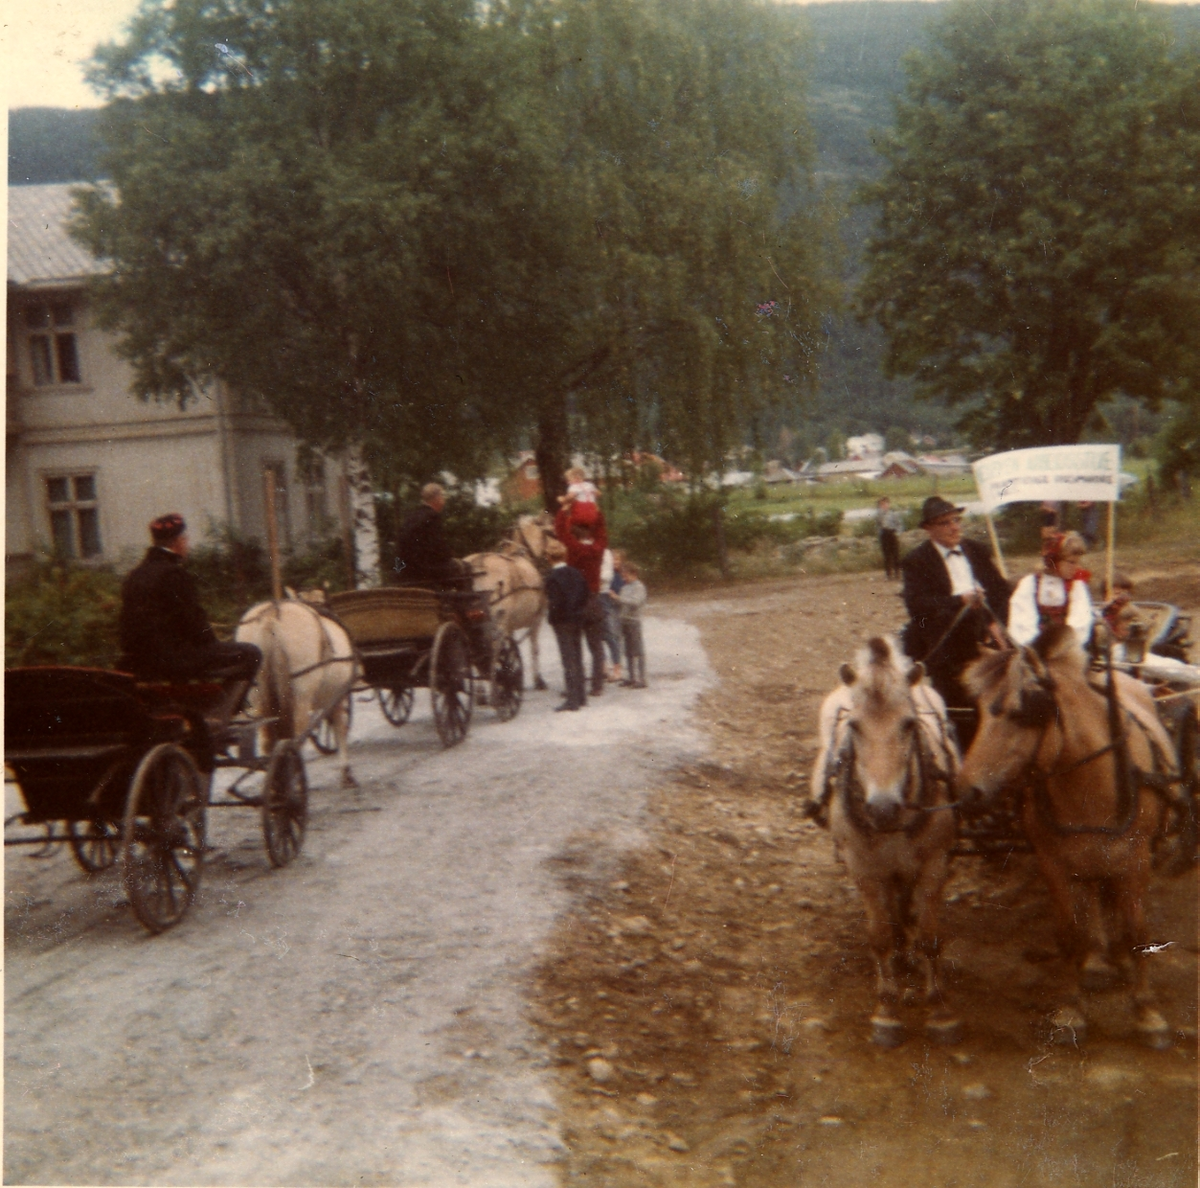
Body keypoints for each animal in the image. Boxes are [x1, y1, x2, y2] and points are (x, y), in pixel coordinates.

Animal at [236, 595, 357, 792]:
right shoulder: (338, 696)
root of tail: (271, 614)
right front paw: (346, 773)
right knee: (296, 741)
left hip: (259, 698)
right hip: (301, 698)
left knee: (268, 742)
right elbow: (340, 730)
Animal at [463, 513, 552, 696]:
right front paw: (538, 680)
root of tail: (476, 564)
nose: (547, 560)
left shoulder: (509, 625)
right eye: (547, 534)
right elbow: (535, 648)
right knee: (491, 651)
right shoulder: (537, 619)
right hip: (496, 623)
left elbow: (511, 649)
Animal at [811, 638, 960, 1046]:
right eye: (854, 725)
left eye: (908, 724)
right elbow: (879, 936)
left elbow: (930, 935)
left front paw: (940, 1011)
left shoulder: (933, 863)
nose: (882, 808)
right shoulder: (865, 868)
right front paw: (887, 1012)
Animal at [960, 628, 1176, 1046]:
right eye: (977, 710)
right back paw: (1097, 959)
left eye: (1023, 712)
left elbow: (1137, 931)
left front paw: (1148, 1012)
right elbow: (1070, 934)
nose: (966, 791)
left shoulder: (1136, 861)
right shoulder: (1055, 865)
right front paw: (1072, 1010)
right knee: (1093, 900)